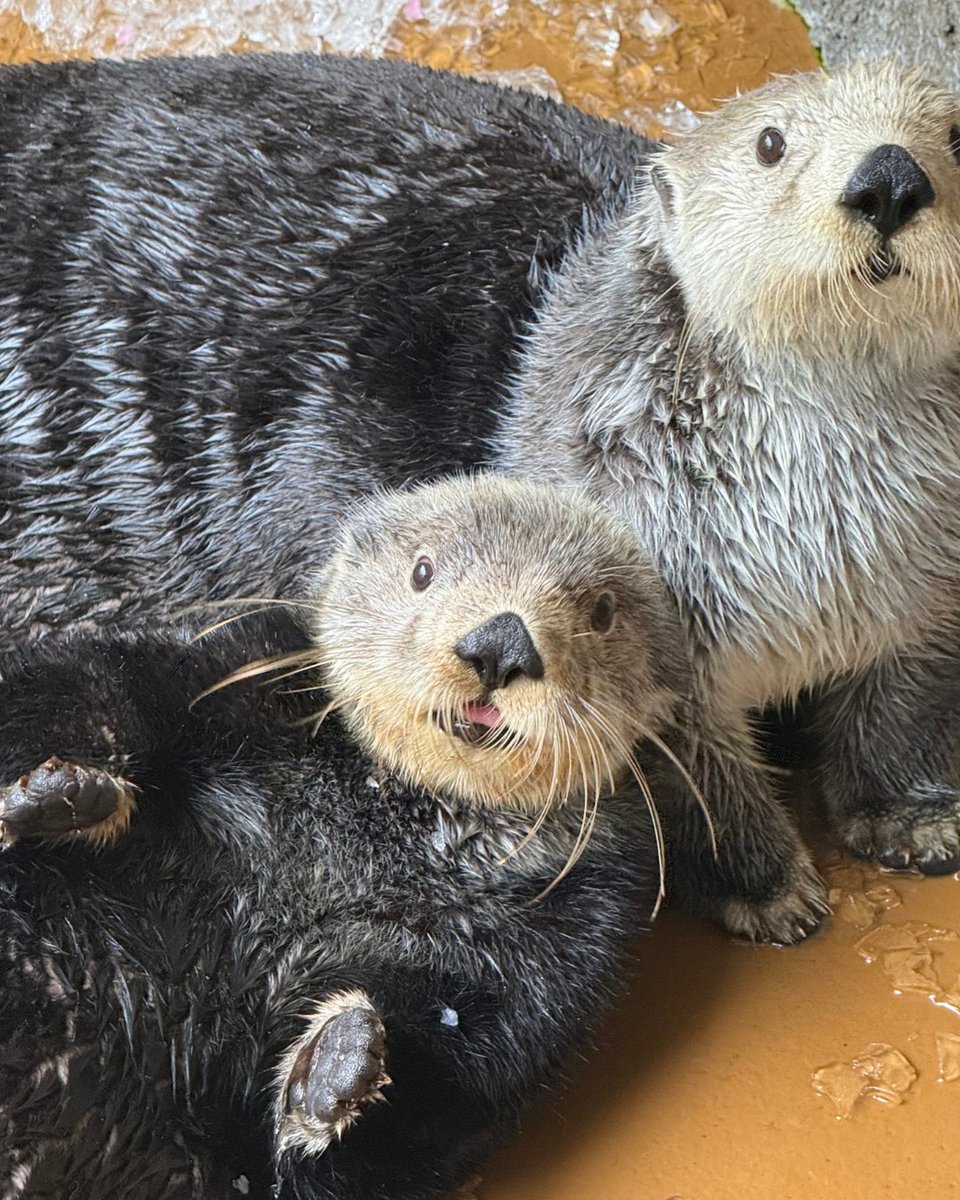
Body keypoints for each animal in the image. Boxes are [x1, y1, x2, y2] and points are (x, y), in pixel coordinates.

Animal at [0, 475, 683, 1199]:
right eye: (422, 570)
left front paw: (337, 1068)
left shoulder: (571, 949)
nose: (501, 644)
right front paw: (56, 797)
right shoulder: (232, 665)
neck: (398, 819)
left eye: (602, 611)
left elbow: (425, 1110)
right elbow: (87, 686)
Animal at [1, 54, 959, 942]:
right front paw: (765, 888)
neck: (813, 546)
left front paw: (912, 818)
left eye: (952, 133)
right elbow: (691, 768)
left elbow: (909, 701)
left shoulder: (930, 588)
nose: (889, 179)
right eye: (771, 144)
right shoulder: (664, 607)